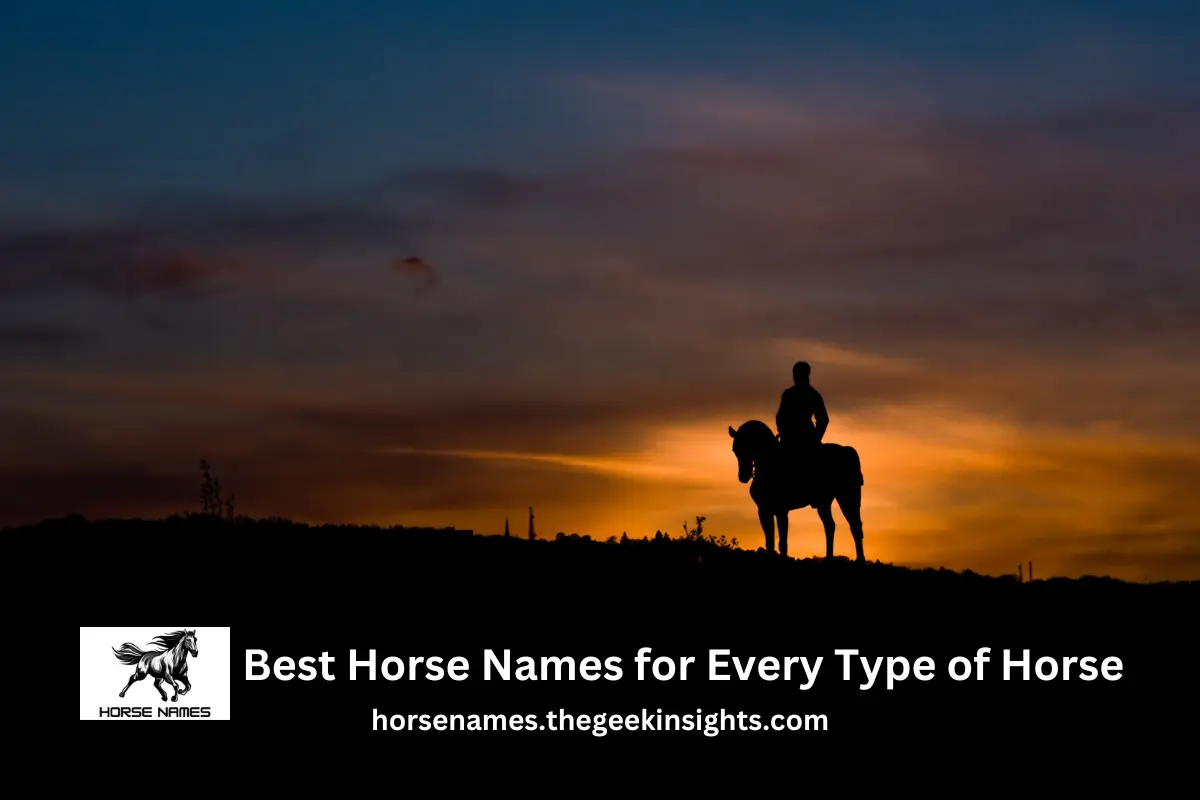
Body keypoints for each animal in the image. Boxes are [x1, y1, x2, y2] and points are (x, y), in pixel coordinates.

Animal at [729, 420, 865, 561]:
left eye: (750, 445)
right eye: (735, 450)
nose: (743, 476)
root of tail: (846, 450)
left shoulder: (781, 511)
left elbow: (782, 542)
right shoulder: (763, 511)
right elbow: (769, 542)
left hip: (848, 497)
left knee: (855, 526)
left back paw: (860, 560)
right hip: (824, 503)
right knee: (830, 526)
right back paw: (829, 559)